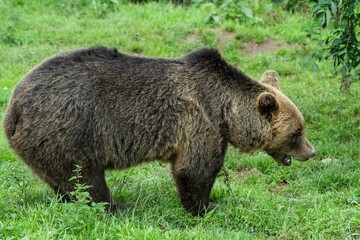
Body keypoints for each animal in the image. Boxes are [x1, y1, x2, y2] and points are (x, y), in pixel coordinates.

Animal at [2, 47, 316, 216]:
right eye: (297, 132)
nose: (311, 152)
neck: (225, 111)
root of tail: (13, 107)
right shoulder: (200, 124)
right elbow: (196, 170)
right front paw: (207, 206)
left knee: (64, 183)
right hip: (71, 130)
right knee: (86, 181)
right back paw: (120, 207)